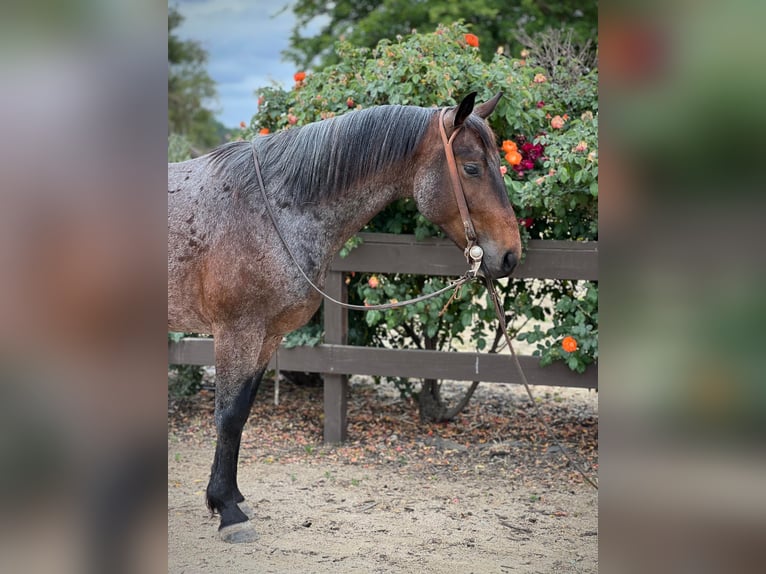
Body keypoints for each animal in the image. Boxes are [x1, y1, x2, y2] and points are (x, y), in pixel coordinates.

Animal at [170, 92, 520, 544]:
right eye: (473, 167)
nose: (510, 255)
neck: (267, 211)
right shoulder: (237, 332)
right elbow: (228, 417)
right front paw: (229, 512)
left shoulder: (267, 337)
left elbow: (242, 411)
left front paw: (228, 497)